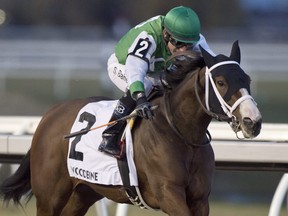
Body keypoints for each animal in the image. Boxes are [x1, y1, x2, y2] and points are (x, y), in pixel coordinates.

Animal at [0, 41, 260, 215]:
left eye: (247, 79)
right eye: (221, 82)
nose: (253, 122)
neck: (182, 134)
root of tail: (48, 116)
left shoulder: (200, 198)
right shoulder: (169, 194)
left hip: (83, 192)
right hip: (49, 197)